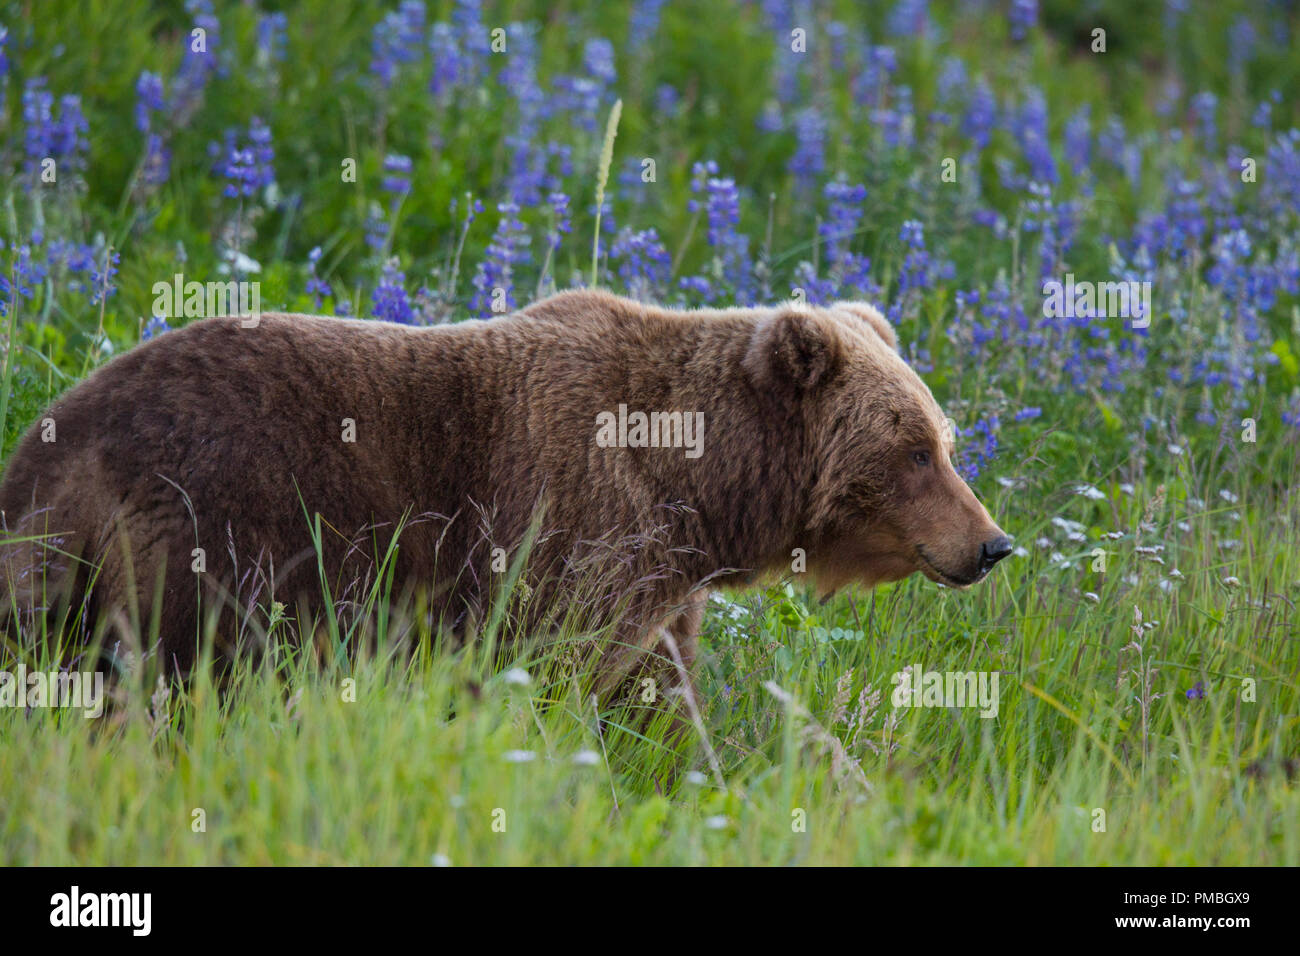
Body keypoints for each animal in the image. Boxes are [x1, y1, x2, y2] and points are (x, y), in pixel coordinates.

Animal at [0, 287, 1008, 712]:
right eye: (914, 451)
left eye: (946, 442)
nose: (994, 545)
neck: (700, 491)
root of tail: (55, 433)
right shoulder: (573, 519)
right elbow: (553, 665)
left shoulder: (659, 581)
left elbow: (662, 695)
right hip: (213, 520)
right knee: (180, 668)